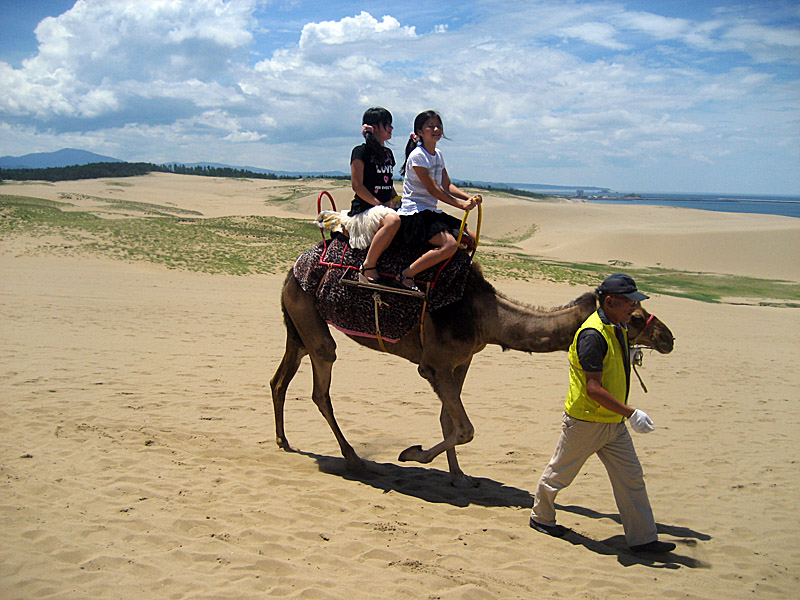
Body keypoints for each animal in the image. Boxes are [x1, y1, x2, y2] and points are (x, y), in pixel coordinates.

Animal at [270, 260, 676, 486]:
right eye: (634, 316)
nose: (667, 337)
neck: (486, 316)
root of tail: (291, 270)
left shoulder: (460, 361)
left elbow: (447, 420)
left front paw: (458, 477)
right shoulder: (432, 365)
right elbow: (465, 428)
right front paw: (412, 454)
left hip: (298, 322)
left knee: (280, 379)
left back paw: (283, 441)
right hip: (311, 320)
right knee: (320, 386)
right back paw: (354, 459)